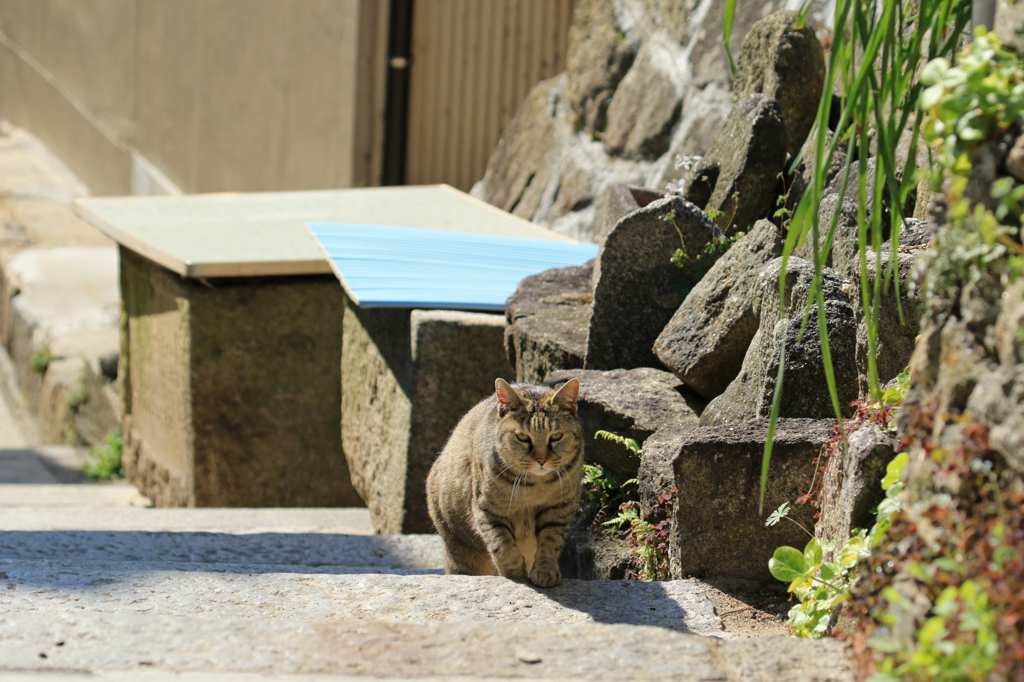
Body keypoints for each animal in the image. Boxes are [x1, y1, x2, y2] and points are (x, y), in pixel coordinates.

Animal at [425, 374, 585, 585]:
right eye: (522, 437)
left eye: (556, 436)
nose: (541, 460)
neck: (535, 486)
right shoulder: (487, 510)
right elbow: (503, 546)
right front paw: (515, 573)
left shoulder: (558, 509)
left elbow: (550, 541)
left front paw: (545, 570)